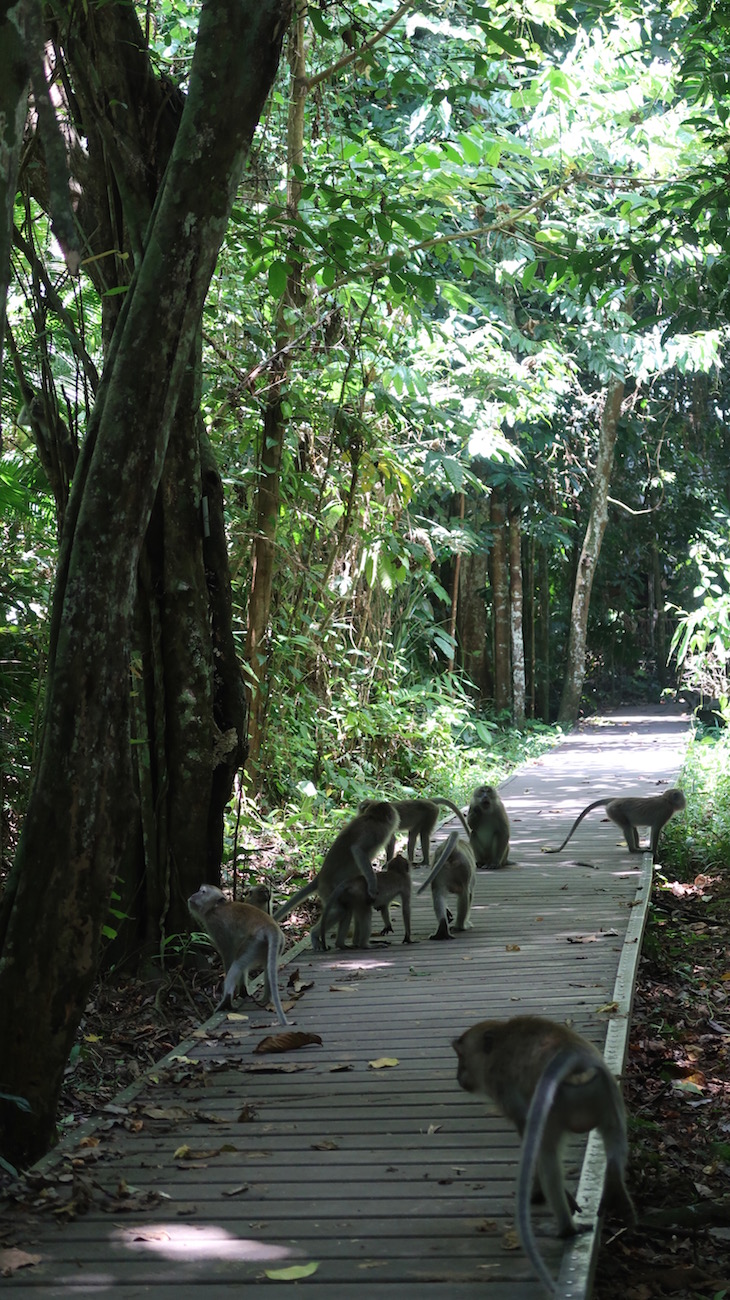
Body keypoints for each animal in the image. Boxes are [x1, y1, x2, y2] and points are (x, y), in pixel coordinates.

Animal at [452, 1013, 633, 1300]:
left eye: (461, 1056)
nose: (458, 1075)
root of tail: (573, 1054)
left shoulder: (504, 1088)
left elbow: (527, 1132)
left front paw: (538, 1193)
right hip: (606, 1091)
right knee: (615, 1136)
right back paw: (616, 1188)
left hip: (555, 1106)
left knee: (546, 1155)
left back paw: (567, 1228)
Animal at [542, 780, 685, 863]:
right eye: (682, 798)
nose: (685, 803)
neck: (667, 800)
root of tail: (615, 799)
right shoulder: (665, 812)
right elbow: (655, 829)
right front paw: (654, 852)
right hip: (614, 811)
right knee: (627, 827)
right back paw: (634, 849)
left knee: (631, 826)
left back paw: (637, 847)